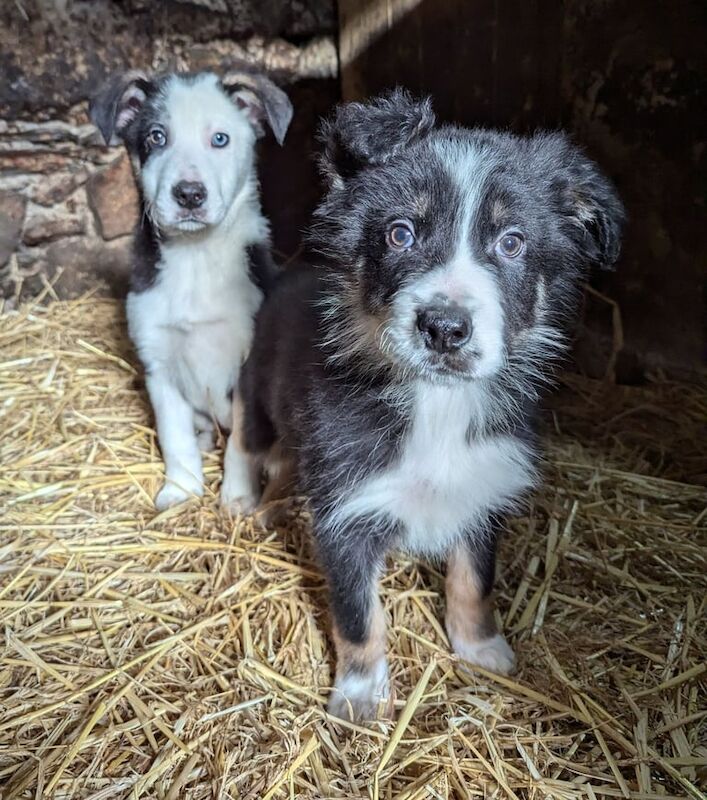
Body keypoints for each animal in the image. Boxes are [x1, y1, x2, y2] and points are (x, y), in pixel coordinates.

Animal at [92, 67, 294, 506]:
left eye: (220, 139)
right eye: (156, 136)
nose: (188, 194)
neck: (195, 257)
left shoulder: (247, 366)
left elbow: (241, 443)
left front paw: (237, 498)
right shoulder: (159, 365)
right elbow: (174, 436)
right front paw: (182, 488)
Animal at [234, 92, 624, 720]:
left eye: (511, 242)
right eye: (400, 234)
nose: (445, 327)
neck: (436, 404)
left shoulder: (481, 491)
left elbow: (474, 580)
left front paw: (481, 649)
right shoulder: (348, 508)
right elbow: (358, 615)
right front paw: (361, 696)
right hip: (257, 391)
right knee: (247, 440)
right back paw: (239, 498)